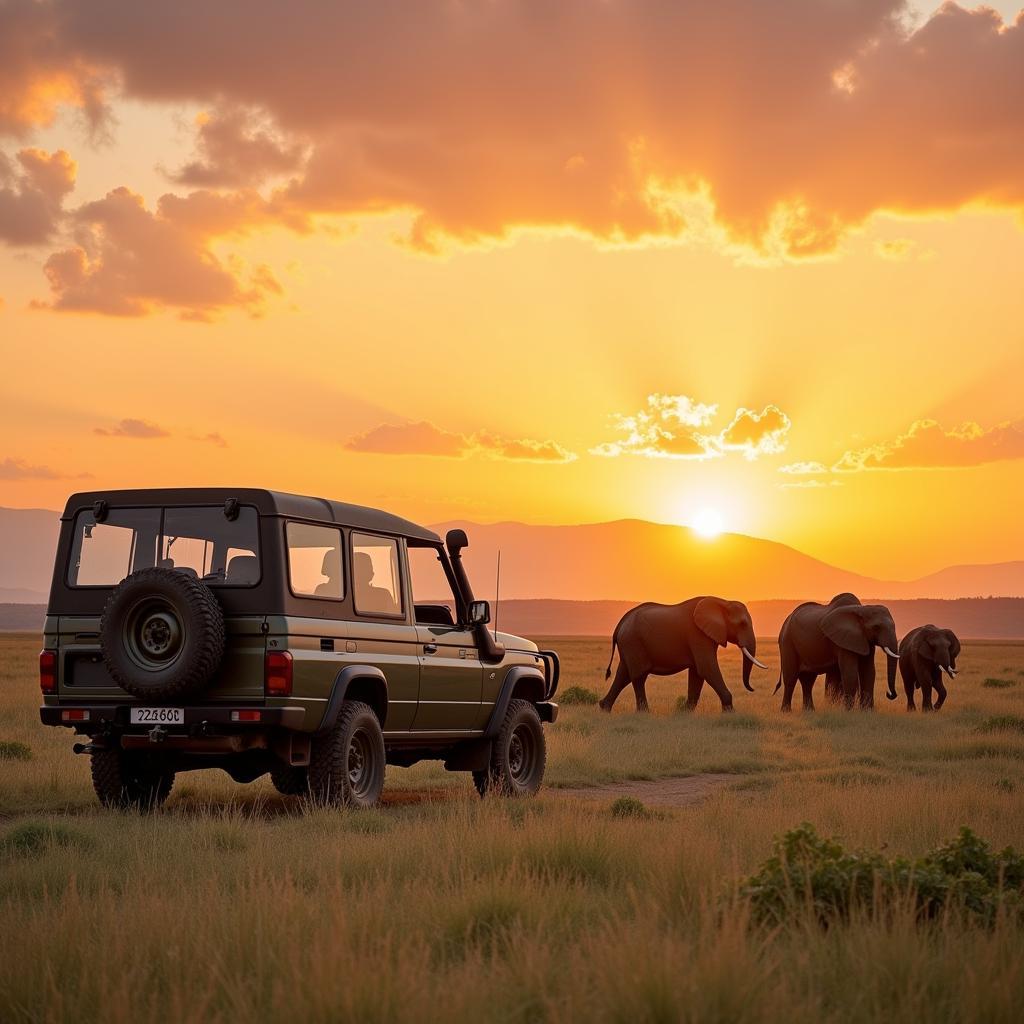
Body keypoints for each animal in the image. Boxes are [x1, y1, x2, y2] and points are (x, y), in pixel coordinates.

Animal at [598, 598, 770, 712]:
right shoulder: (697, 635)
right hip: (633, 642)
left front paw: (685, 713)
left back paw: (604, 708)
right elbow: (706, 668)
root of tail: (620, 624)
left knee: (624, 674)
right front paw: (730, 713)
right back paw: (644, 713)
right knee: (638, 676)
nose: (752, 688)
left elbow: (697, 674)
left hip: (629, 645)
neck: (722, 602)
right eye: (742, 624)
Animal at [770, 593, 901, 712]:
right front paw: (848, 711)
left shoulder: (865, 639)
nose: (889, 694)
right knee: (791, 678)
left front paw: (867, 712)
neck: (861, 609)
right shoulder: (842, 640)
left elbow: (868, 672)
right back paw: (786, 711)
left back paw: (809, 711)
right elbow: (850, 673)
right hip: (787, 642)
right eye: (876, 627)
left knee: (808, 680)